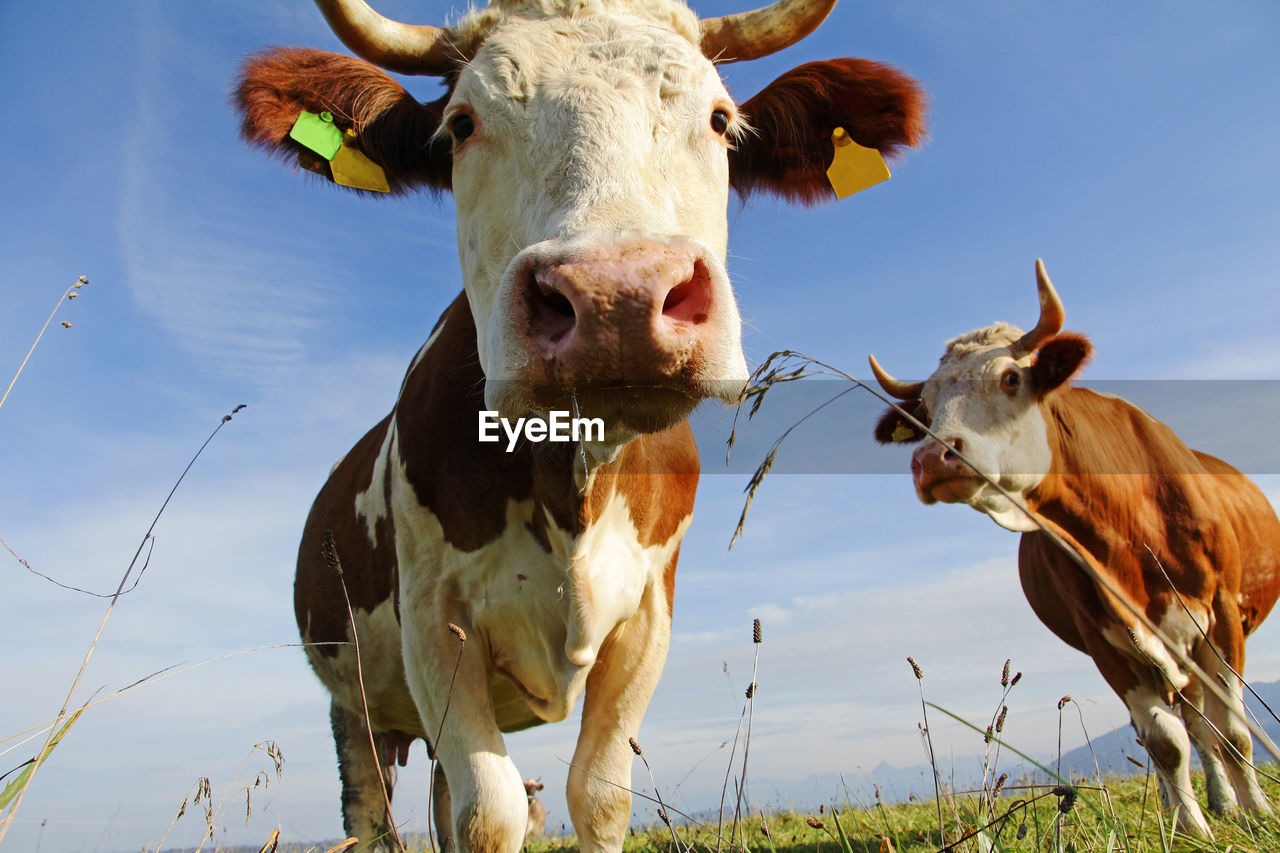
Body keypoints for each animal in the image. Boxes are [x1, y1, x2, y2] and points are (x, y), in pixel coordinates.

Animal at [238, 0, 921, 845]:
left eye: (721, 120)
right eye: (461, 124)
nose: (616, 297)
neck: (572, 478)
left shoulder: (649, 612)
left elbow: (596, 793)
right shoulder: (433, 618)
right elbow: (491, 810)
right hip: (354, 701)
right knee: (372, 812)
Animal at [870, 261, 1280, 835]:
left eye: (1011, 377)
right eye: (924, 408)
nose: (932, 460)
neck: (1128, 530)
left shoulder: (1221, 616)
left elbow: (1236, 731)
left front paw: (1258, 815)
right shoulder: (1104, 637)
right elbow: (1165, 742)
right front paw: (1191, 829)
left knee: (1206, 723)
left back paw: (1227, 803)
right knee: (1179, 728)